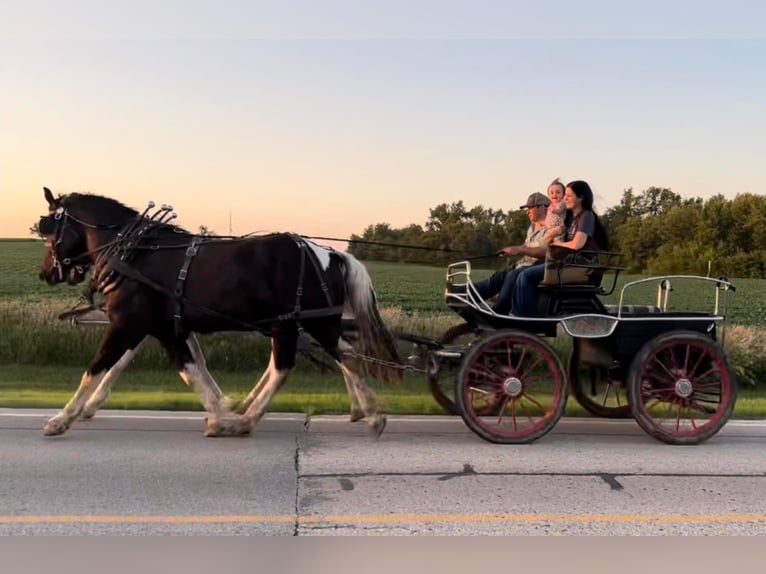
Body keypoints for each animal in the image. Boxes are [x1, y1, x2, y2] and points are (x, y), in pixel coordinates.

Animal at [36, 188, 402, 436]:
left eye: (49, 233)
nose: (47, 273)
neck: (134, 254)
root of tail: (328, 252)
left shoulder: (130, 323)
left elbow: (99, 366)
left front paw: (62, 418)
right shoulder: (168, 327)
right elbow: (192, 368)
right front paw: (220, 408)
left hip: (306, 324)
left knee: (305, 363)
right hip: (298, 324)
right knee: (332, 357)